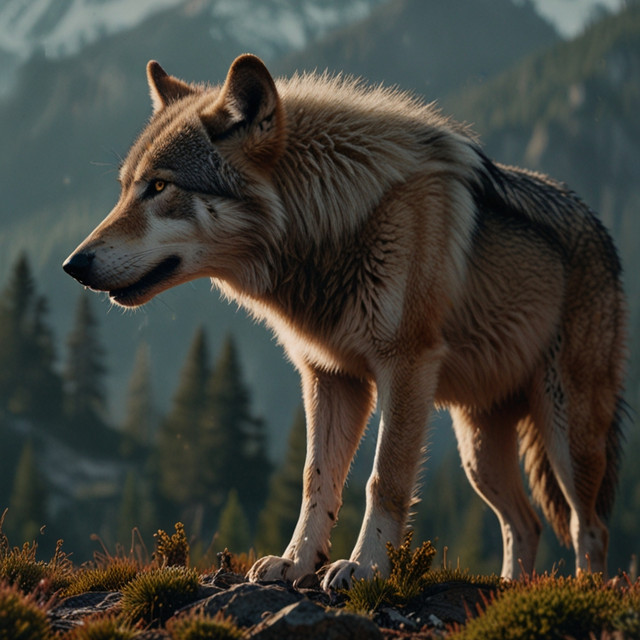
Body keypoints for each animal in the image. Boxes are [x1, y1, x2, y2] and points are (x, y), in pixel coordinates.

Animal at [63, 54, 626, 587]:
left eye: (159, 186)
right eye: (125, 189)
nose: (73, 265)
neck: (336, 222)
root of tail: (603, 234)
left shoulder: (405, 366)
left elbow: (384, 479)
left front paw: (367, 568)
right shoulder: (330, 376)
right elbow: (316, 478)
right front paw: (295, 563)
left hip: (566, 433)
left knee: (591, 526)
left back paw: (585, 590)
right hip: (479, 451)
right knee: (525, 522)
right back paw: (509, 587)